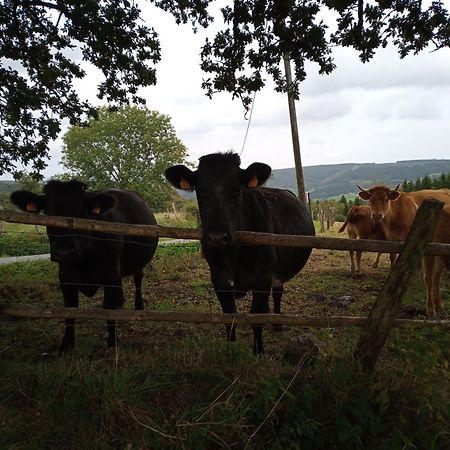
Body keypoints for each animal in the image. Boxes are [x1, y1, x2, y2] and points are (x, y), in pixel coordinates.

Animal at [11, 179, 158, 352]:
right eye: (48, 213)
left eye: (82, 213)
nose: (65, 252)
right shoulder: (65, 277)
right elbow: (70, 311)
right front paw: (66, 344)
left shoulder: (109, 275)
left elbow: (108, 311)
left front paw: (112, 343)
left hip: (137, 263)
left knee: (138, 279)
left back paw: (138, 306)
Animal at [163, 153, 314, 354]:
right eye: (200, 192)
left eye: (236, 191)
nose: (217, 237)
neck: (233, 257)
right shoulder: (218, 280)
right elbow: (229, 317)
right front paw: (230, 348)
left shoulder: (262, 279)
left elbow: (255, 318)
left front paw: (258, 351)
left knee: (277, 292)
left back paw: (277, 323)